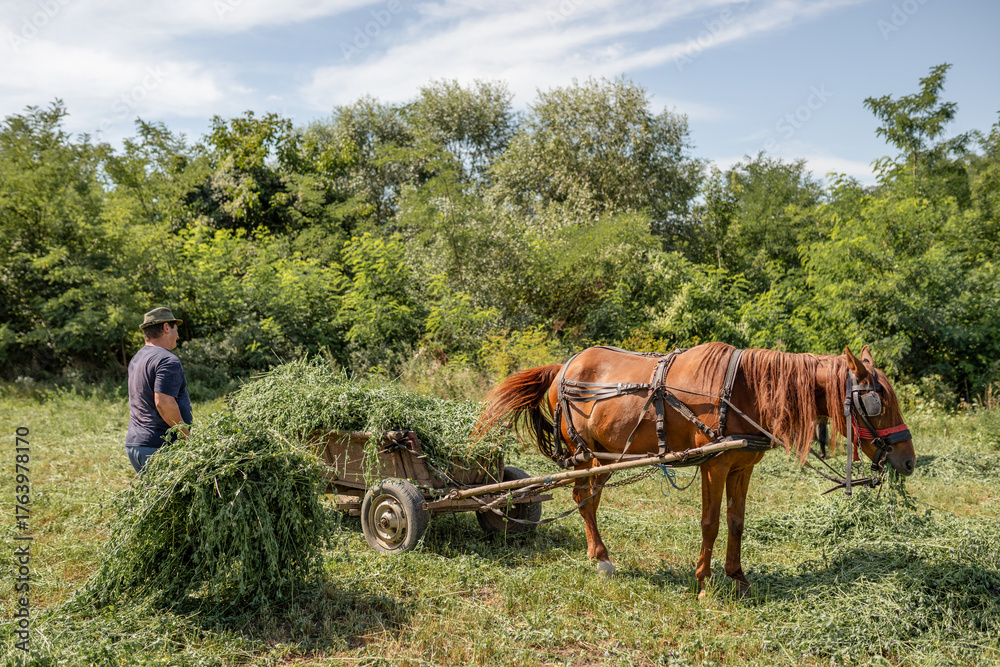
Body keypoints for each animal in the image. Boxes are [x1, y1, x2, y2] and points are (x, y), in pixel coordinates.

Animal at [475, 342, 916, 598]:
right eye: (878, 402)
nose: (908, 460)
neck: (742, 391)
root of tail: (564, 366)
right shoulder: (714, 466)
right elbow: (711, 522)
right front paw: (703, 581)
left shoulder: (742, 466)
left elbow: (737, 522)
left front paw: (737, 577)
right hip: (584, 456)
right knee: (583, 497)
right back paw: (600, 558)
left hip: (605, 456)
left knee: (589, 499)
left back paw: (596, 554)